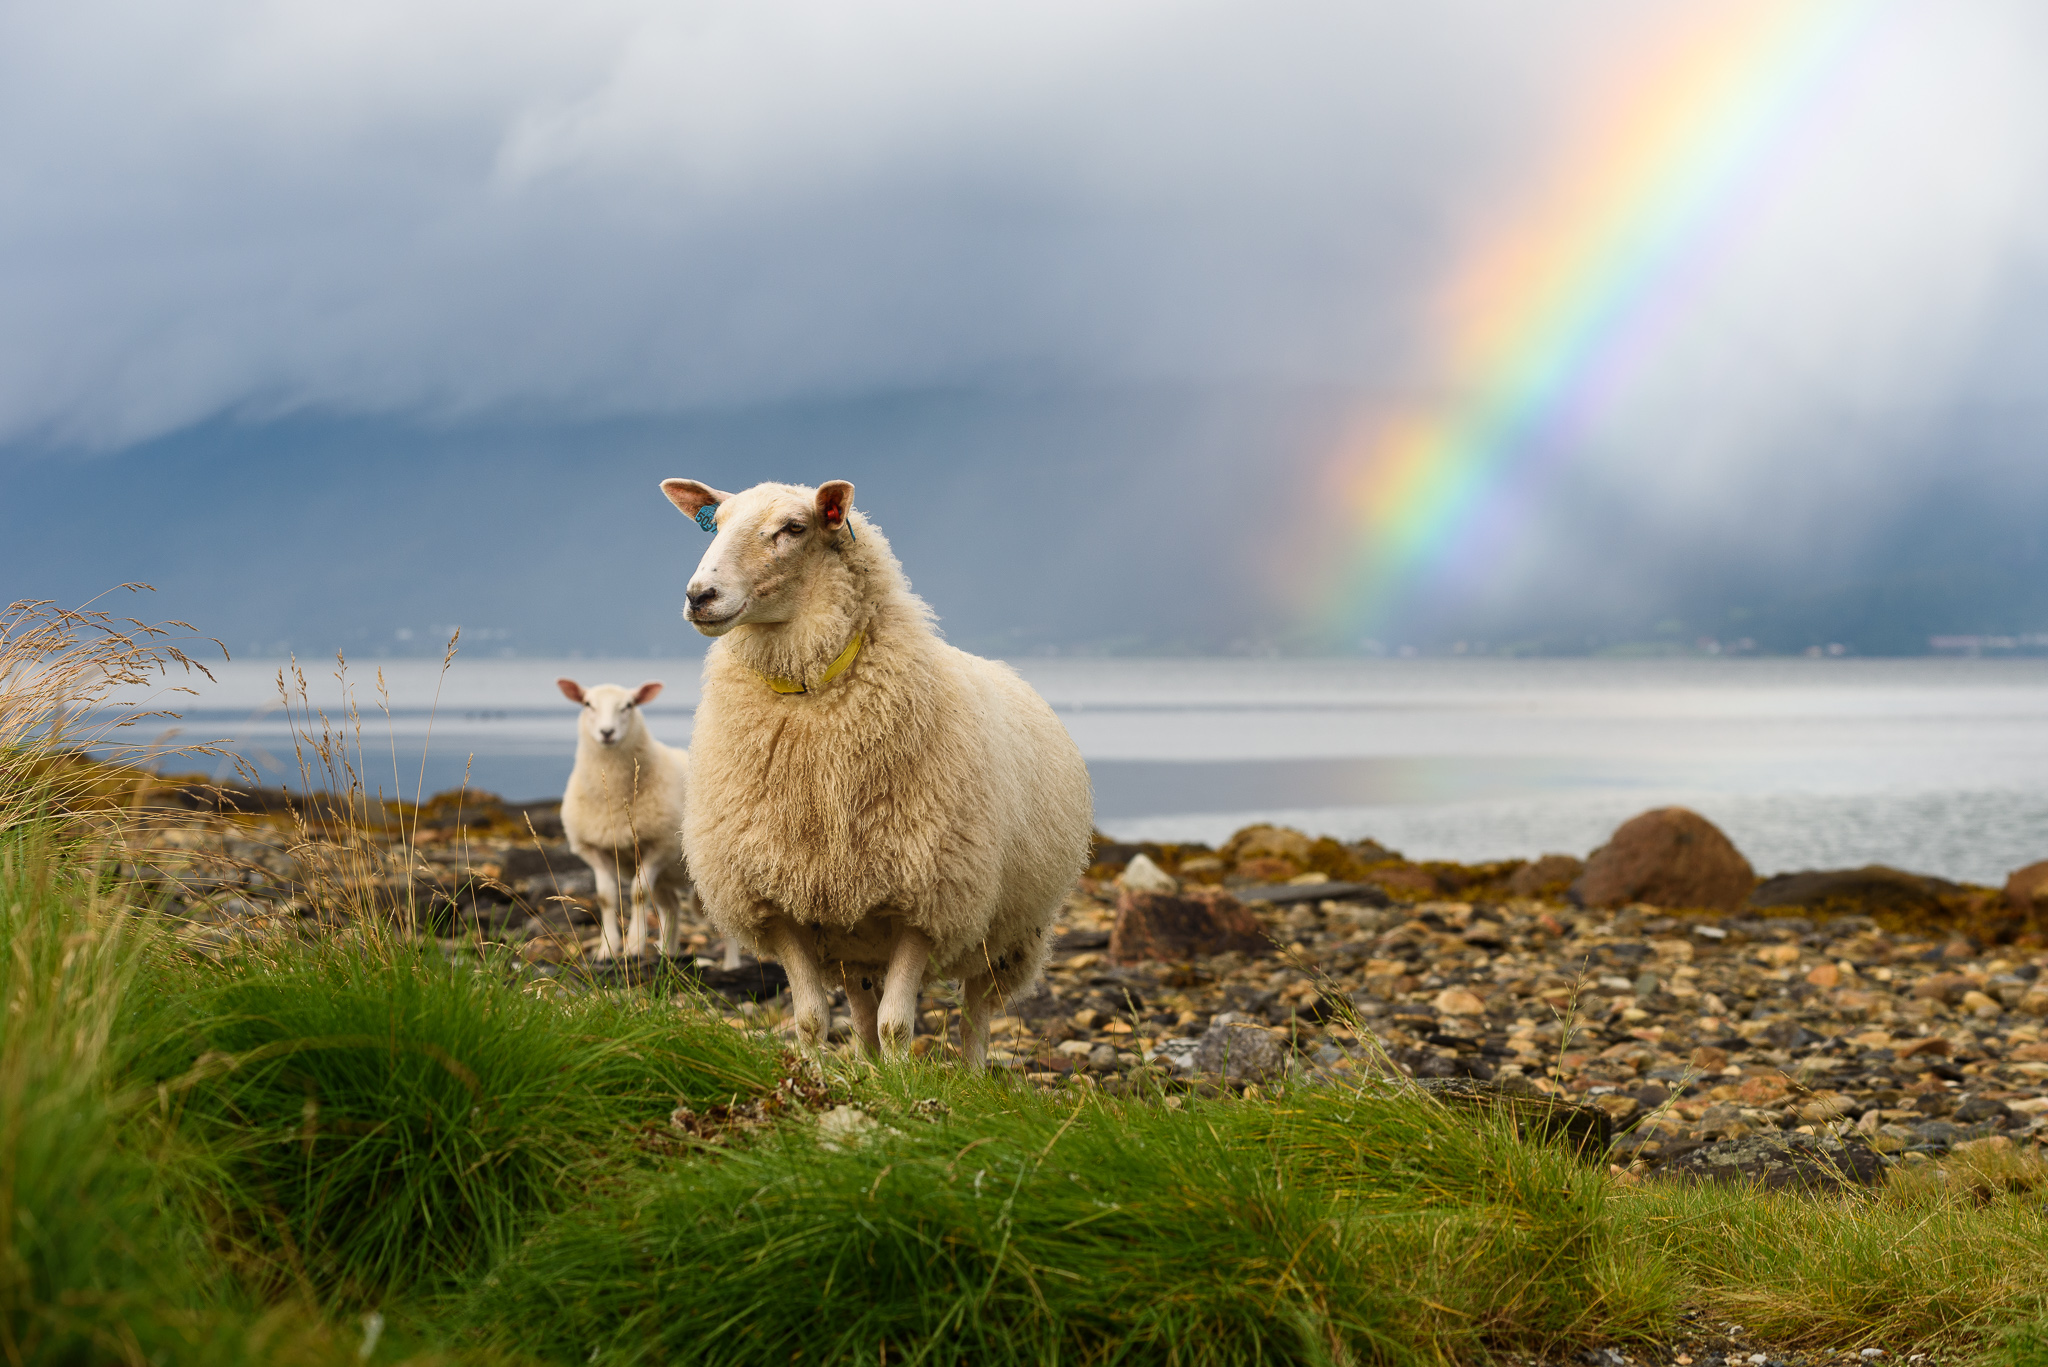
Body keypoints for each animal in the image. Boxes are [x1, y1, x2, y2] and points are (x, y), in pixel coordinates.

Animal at [552, 680, 737, 967]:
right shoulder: (595, 849)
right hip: (667, 877)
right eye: (587, 704)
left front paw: (634, 947)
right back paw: (667, 953)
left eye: (628, 705)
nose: (607, 733)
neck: (614, 798)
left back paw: (731, 964)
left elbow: (638, 895)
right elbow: (606, 898)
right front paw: (606, 950)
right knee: (671, 906)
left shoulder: (660, 846)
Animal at [663, 475, 1097, 1065]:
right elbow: (810, 1018)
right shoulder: (778, 903)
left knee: (975, 1014)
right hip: (852, 938)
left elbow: (897, 1024)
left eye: (793, 528)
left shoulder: (927, 900)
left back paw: (973, 1074)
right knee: (862, 1012)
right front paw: (816, 1075)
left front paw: (901, 1083)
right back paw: (867, 1070)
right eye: (717, 523)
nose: (699, 596)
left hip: (1007, 936)